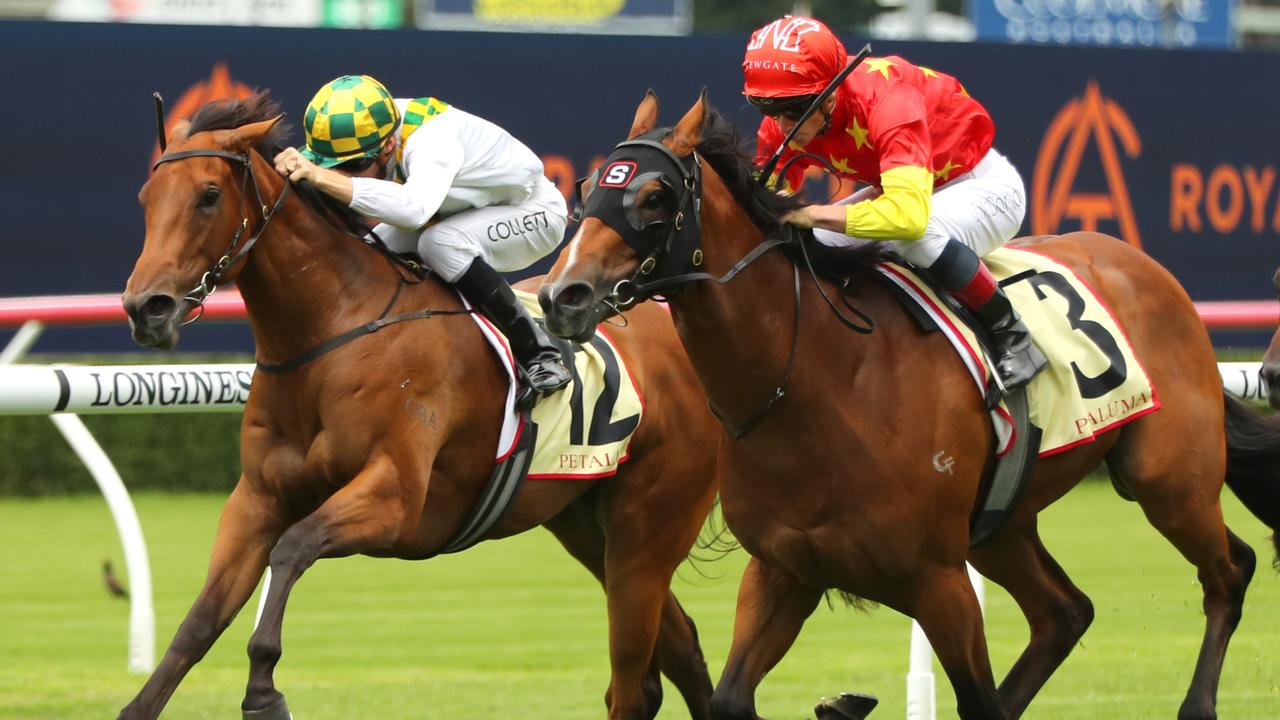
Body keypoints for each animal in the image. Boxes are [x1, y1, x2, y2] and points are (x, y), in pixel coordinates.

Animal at [120, 94, 721, 717]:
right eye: (147, 197)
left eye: (209, 195)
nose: (146, 307)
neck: (333, 331)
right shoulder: (257, 500)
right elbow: (199, 622)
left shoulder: (396, 498)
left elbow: (294, 547)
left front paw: (263, 687)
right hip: (587, 523)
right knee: (680, 647)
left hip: (651, 523)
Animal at [540, 92, 1280, 717]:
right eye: (586, 189)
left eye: (654, 195)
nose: (561, 295)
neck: (818, 386)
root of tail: (1144, 266)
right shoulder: (783, 571)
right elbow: (728, 699)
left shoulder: (938, 580)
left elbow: (976, 701)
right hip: (1003, 527)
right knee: (1064, 613)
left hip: (1169, 480)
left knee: (1229, 570)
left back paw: (1197, 704)